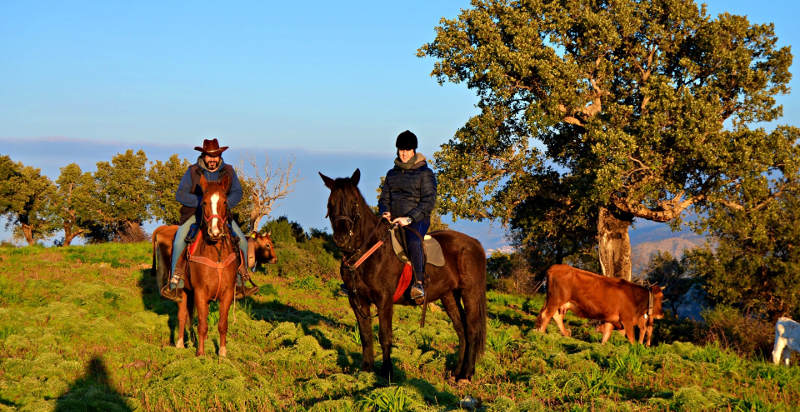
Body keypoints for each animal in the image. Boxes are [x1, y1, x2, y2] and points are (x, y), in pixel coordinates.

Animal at [319, 169, 487, 382]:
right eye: (330, 204)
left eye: (353, 202)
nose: (342, 240)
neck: (367, 251)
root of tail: (475, 244)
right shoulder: (358, 301)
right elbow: (366, 336)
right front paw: (366, 371)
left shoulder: (384, 300)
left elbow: (385, 336)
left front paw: (387, 374)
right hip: (449, 296)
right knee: (462, 331)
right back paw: (456, 373)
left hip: (470, 293)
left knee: (472, 330)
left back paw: (466, 375)